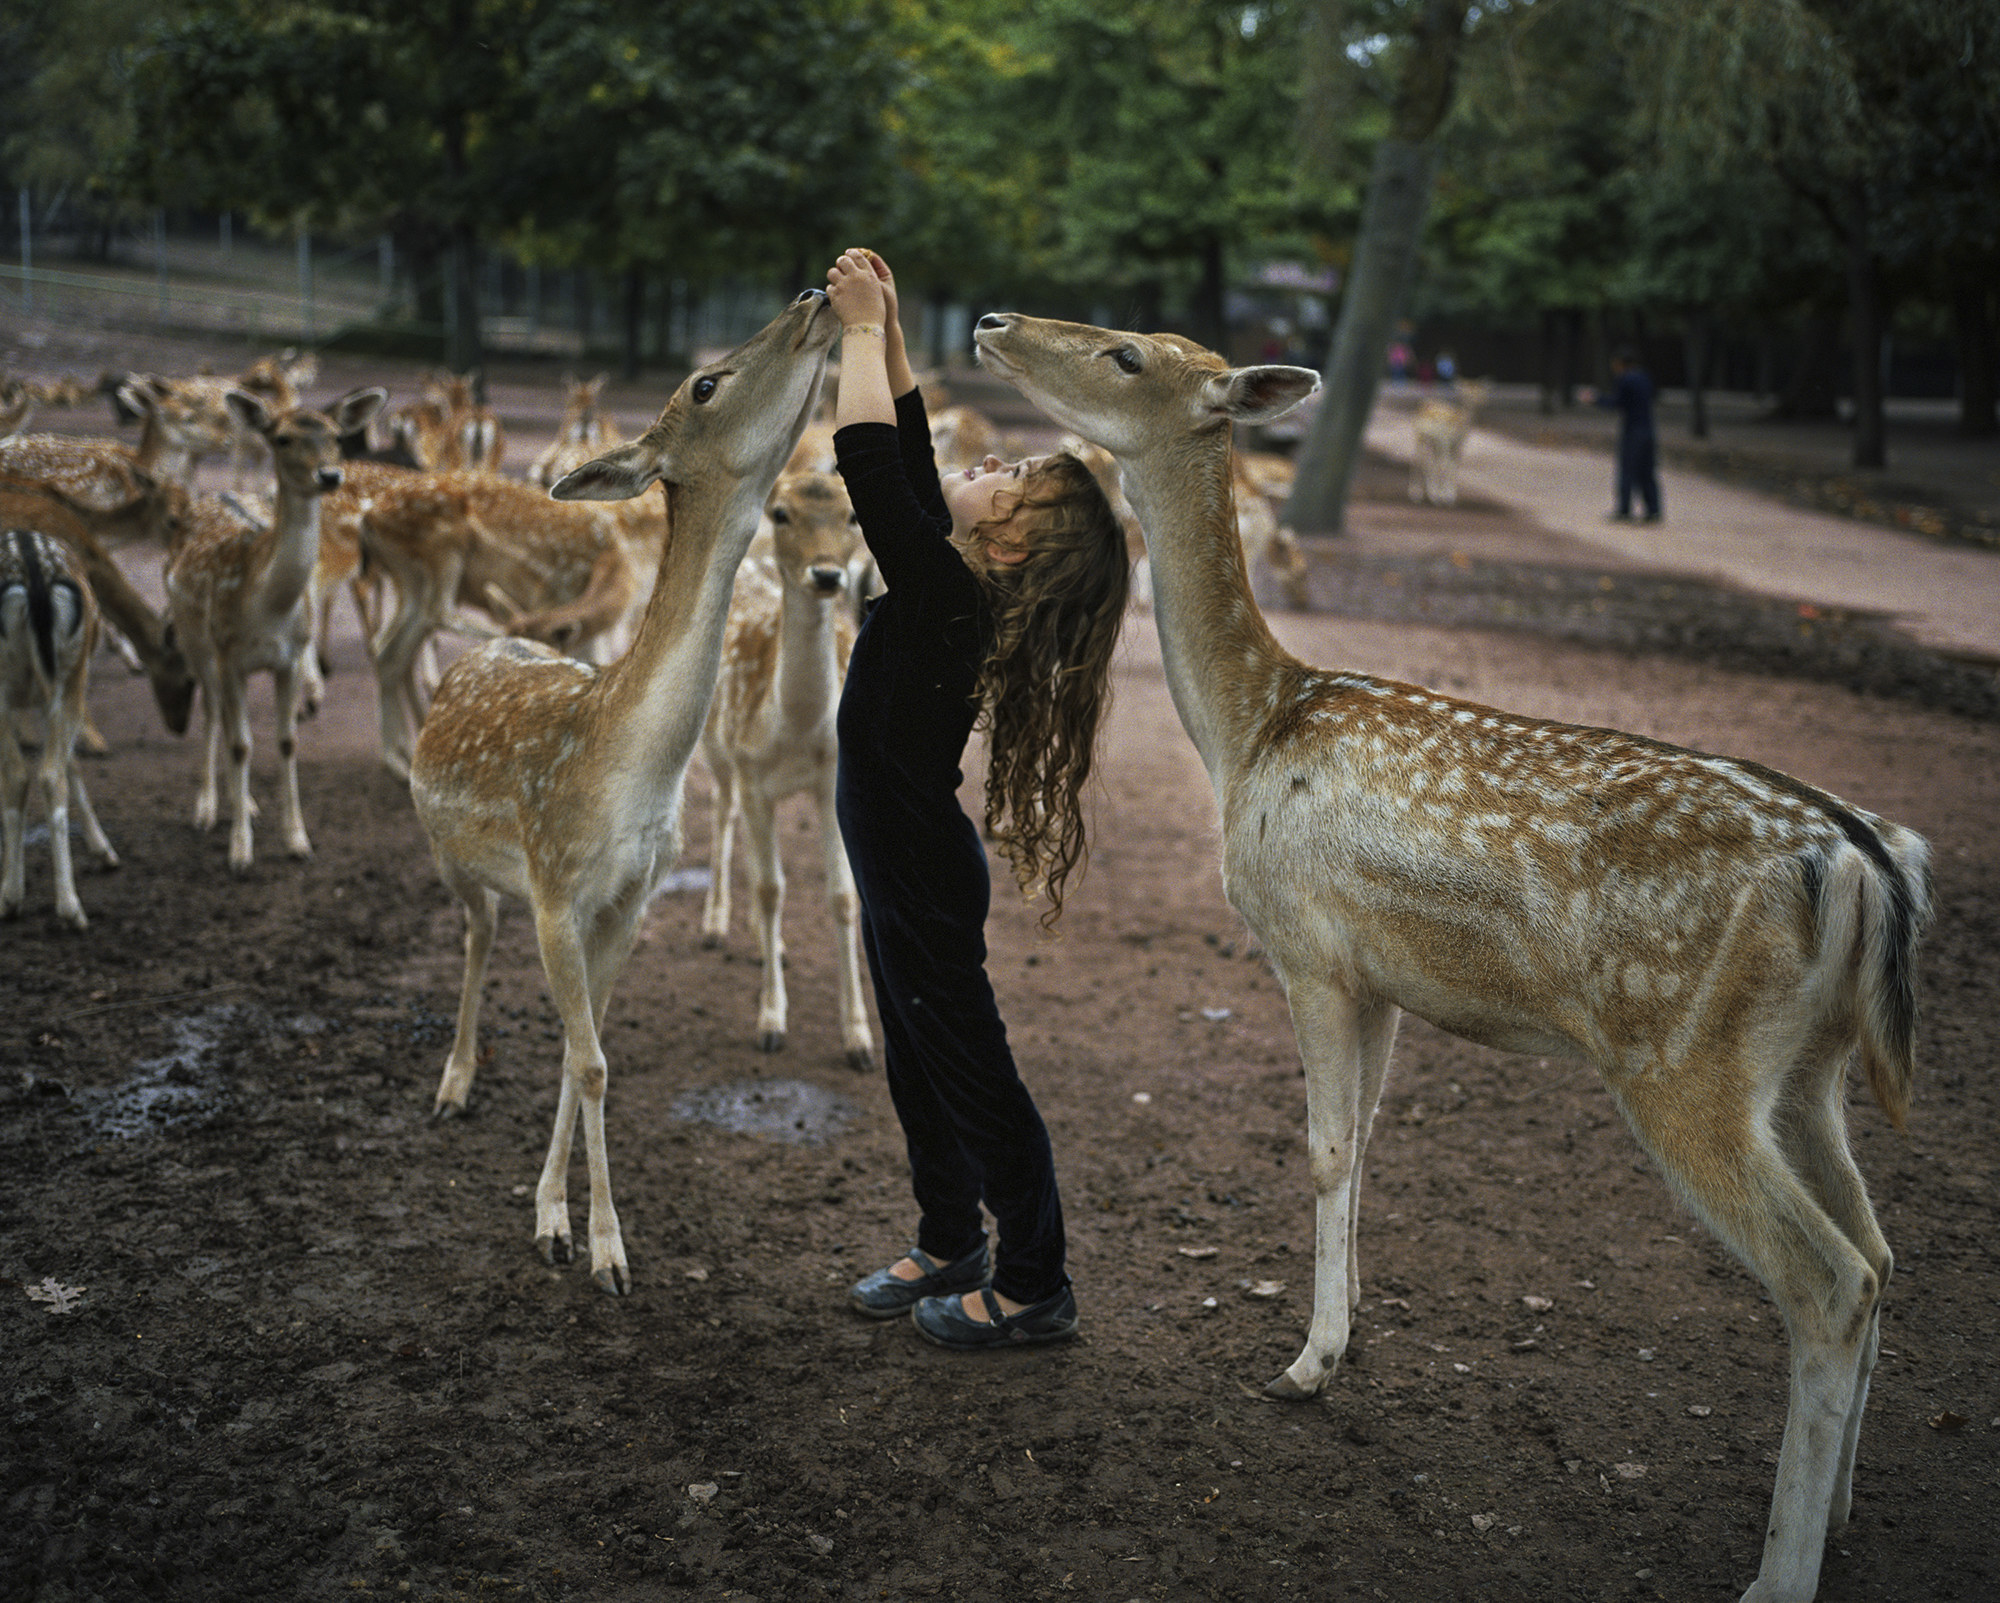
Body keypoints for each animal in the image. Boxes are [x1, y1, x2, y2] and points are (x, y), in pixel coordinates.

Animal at [166, 383, 384, 875]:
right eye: (282, 439)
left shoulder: (290, 657)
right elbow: (242, 744)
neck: (268, 607)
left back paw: (245, 804)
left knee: (228, 720)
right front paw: (240, 852)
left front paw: (298, 840)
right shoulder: (229, 655)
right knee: (214, 714)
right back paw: (207, 809)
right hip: (194, 639)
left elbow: (285, 741)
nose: (329, 475)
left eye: (337, 436)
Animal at [414, 283, 836, 1287]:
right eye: (706, 382)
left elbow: (587, 1050)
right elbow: (593, 1060)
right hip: (453, 856)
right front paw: (601, 1247)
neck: (629, 770)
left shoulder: (630, 898)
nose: (813, 295)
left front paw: (556, 1216)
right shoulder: (555, 886)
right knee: (475, 933)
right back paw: (454, 1082)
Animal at [704, 467, 876, 1071]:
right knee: (724, 815)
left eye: (852, 514)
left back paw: (767, 941)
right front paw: (771, 1022)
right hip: (717, 750)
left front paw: (859, 1039)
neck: (796, 732)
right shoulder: (753, 774)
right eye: (781, 513)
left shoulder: (831, 783)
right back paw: (716, 924)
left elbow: (842, 897)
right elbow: (770, 888)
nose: (826, 574)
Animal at [976, 311, 1928, 1599]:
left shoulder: (1306, 946)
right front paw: (1343, 1336)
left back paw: (1775, 1571)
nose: (992, 322)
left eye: (1127, 355)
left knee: (1826, 1279)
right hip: (1806, 1070)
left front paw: (1304, 1363)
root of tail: (1869, 866)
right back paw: (1837, 1519)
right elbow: (1364, 1146)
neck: (1246, 728)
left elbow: (1323, 1149)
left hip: (1684, 1058)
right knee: (1875, 1251)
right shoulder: (1378, 976)